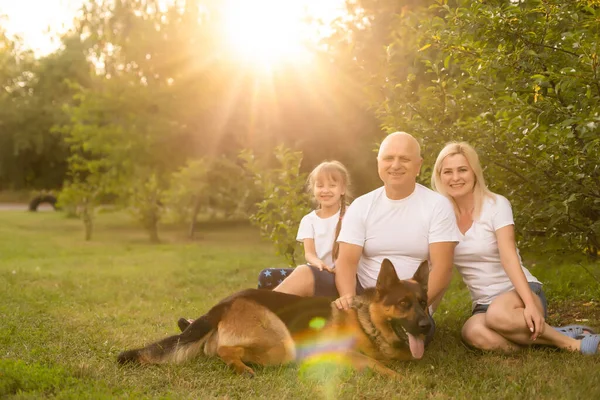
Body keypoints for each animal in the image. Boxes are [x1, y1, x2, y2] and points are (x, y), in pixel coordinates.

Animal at [117, 260, 432, 378]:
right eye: (403, 304)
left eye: (423, 303)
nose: (427, 327)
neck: (367, 321)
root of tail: (224, 304)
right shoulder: (343, 354)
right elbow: (378, 365)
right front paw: (399, 378)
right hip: (282, 345)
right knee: (225, 350)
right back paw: (242, 368)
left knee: (215, 350)